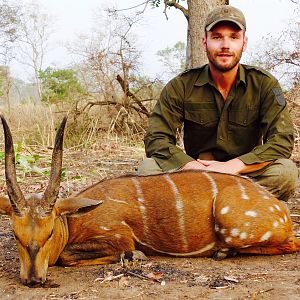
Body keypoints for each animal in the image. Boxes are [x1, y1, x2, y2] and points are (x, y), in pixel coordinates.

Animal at [0, 115, 298, 286]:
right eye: (15, 235)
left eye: (49, 232)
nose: (33, 280)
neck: (74, 221)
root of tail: (280, 210)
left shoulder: (118, 237)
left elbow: (68, 256)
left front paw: (137, 255)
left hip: (234, 225)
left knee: (291, 243)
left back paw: (224, 252)